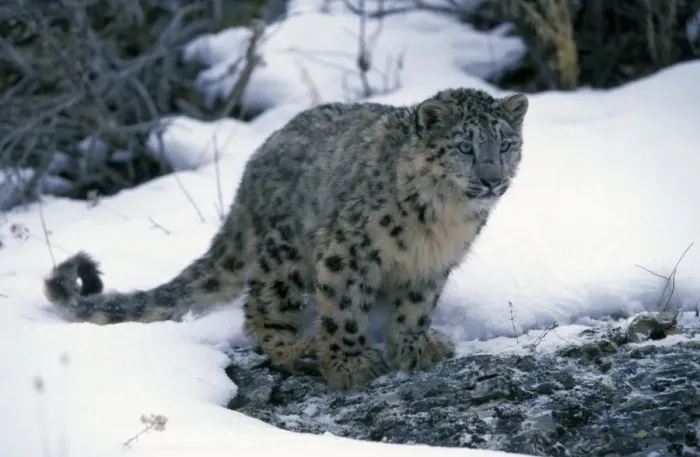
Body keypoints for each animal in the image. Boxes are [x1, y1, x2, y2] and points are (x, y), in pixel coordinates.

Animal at [44, 87, 528, 391]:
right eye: (464, 147)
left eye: (505, 144)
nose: (492, 179)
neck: (445, 219)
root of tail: (253, 166)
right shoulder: (347, 250)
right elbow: (344, 311)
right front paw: (350, 365)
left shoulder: (431, 263)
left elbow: (417, 306)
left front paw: (415, 346)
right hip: (286, 257)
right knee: (259, 312)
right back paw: (301, 348)